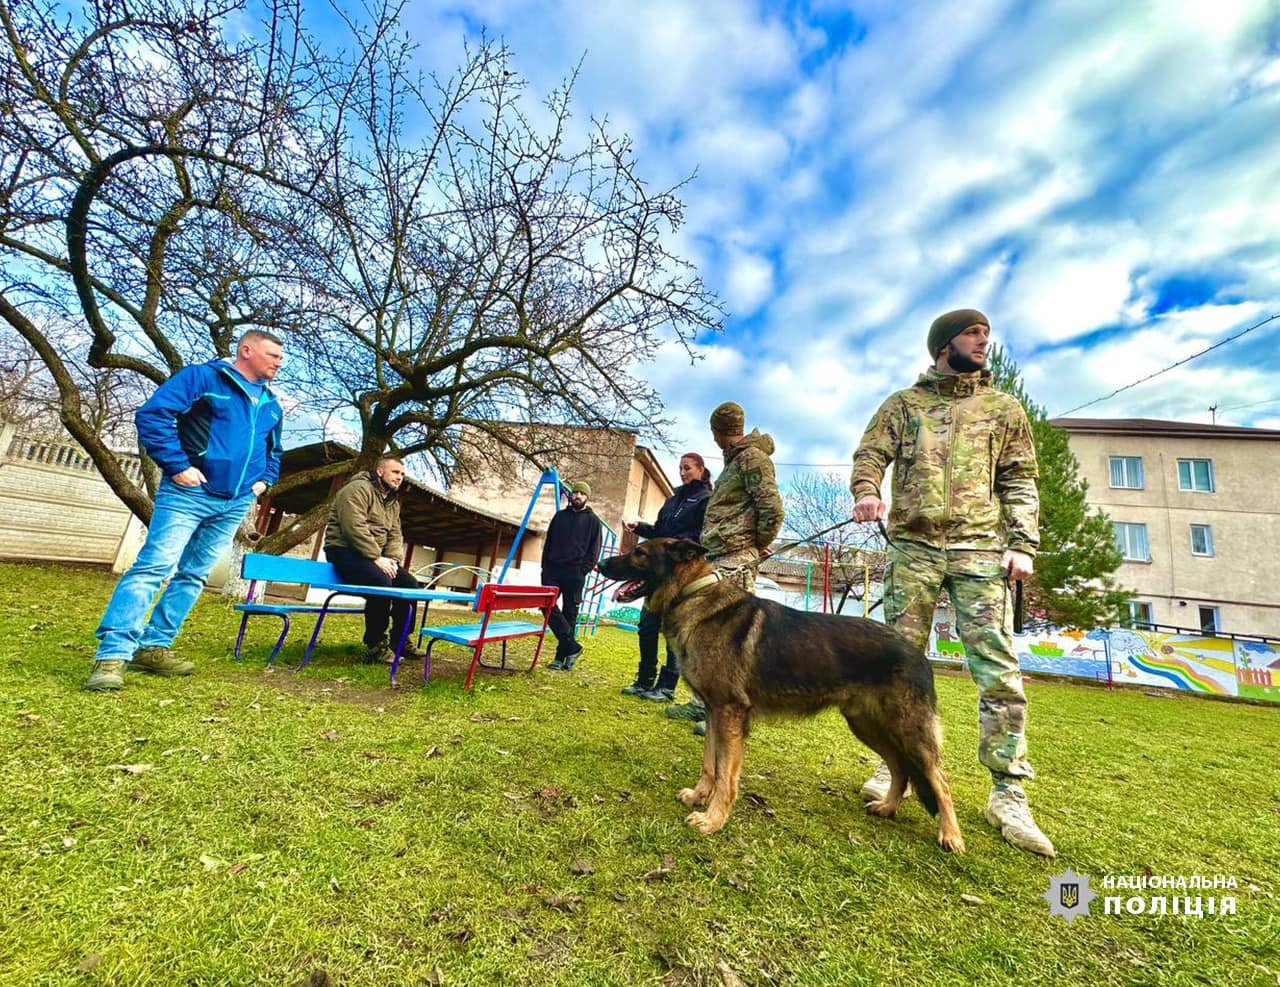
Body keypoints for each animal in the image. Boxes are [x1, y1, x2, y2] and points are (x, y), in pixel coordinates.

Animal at [593, 537, 962, 855]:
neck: (693, 594)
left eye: (640, 553)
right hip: (869, 727)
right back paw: (887, 807)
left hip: (908, 732)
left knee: (939, 782)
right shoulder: (713, 712)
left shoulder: (730, 715)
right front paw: (699, 796)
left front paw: (713, 820)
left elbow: (726, 776)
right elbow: (710, 765)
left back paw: (951, 835)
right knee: (900, 768)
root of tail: (917, 653)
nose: (599, 563)